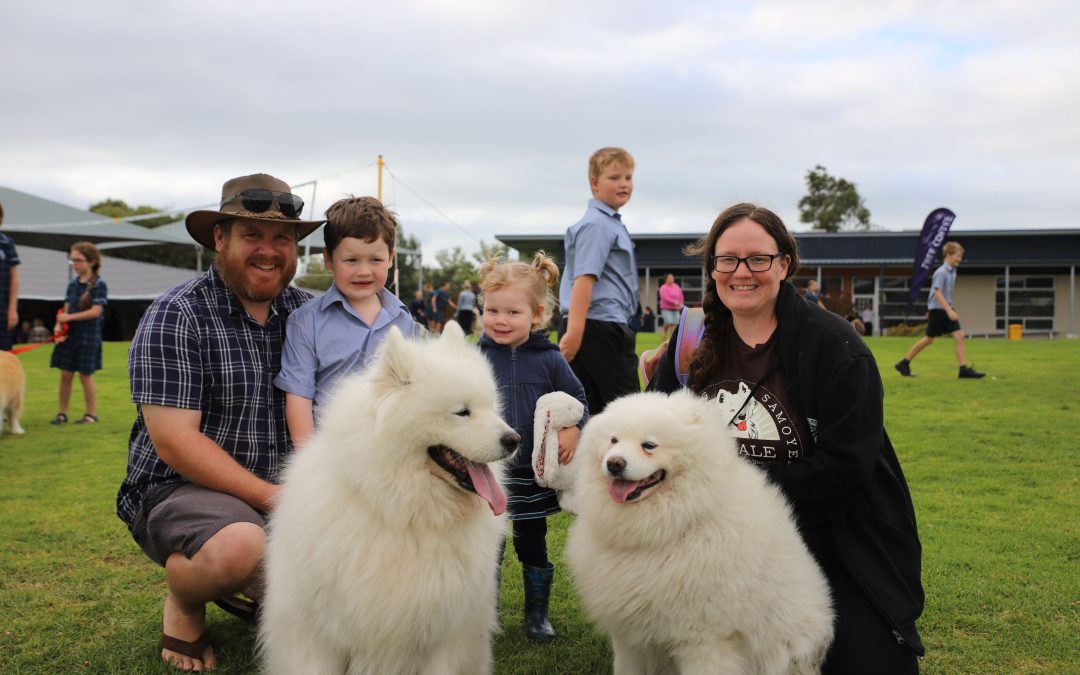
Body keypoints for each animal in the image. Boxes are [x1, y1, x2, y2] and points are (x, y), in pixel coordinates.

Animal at [257, 324, 518, 669]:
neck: (401, 510)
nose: (515, 439)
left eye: (491, 406)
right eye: (463, 412)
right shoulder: (318, 636)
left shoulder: (444, 634)